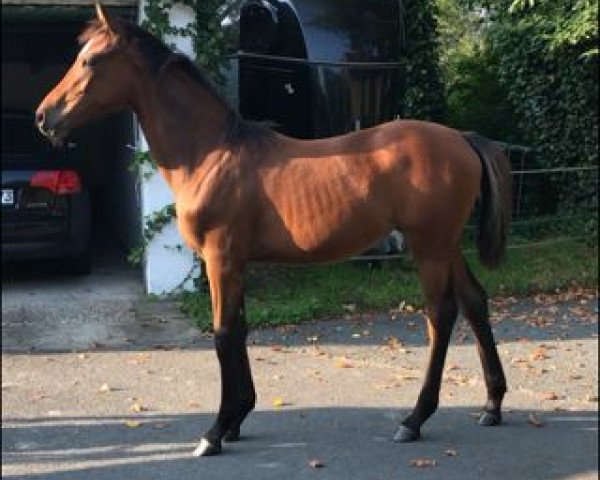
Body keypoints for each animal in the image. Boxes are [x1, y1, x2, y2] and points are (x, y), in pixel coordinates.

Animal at [35, 4, 510, 458]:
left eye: (91, 60)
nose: (44, 116)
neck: (211, 153)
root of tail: (462, 138)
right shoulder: (236, 264)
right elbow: (241, 330)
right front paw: (238, 419)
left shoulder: (221, 259)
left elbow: (224, 334)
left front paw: (214, 433)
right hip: (447, 245)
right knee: (475, 302)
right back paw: (492, 406)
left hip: (428, 247)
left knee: (440, 315)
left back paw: (414, 419)